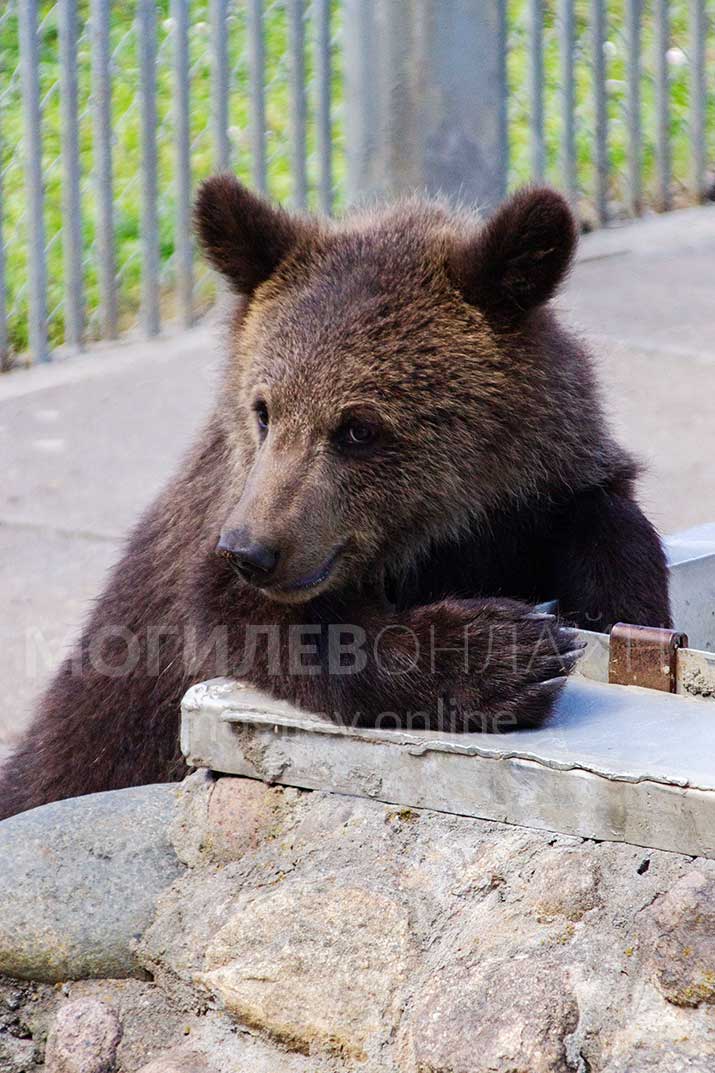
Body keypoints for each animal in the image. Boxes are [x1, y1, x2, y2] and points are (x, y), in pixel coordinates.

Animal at [0, 178, 669, 819]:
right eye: (264, 410)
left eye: (358, 427)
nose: (250, 551)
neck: (438, 531)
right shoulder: (213, 543)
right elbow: (266, 621)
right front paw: (504, 653)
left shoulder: (540, 488)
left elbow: (608, 532)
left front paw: (620, 618)